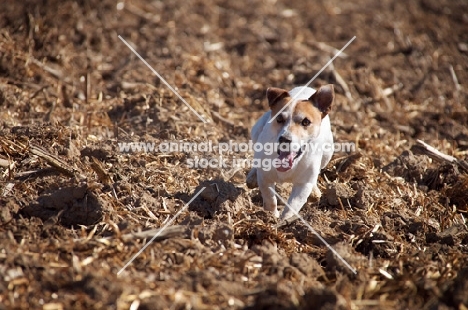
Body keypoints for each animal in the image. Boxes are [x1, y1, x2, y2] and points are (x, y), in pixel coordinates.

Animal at [247, 85, 334, 219]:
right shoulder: (265, 178)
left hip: (327, 153)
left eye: (306, 122)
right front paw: (270, 216)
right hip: (256, 131)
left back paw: (314, 191)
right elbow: (270, 199)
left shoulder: (302, 186)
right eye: (279, 118)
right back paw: (252, 177)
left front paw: (284, 220)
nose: (284, 139)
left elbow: (293, 206)